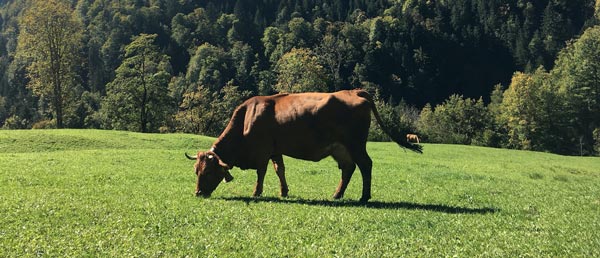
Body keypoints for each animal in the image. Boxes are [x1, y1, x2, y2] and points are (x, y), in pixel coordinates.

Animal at [185, 89, 424, 203]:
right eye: (196, 171)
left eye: (208, 172)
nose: (198, 193)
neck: (247, 118)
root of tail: (354, 91)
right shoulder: (276, 150)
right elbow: (279, 170)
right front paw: (284, 191)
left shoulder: (262, 150)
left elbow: (261, 172)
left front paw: (257, 192)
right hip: (340, 148)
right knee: (348, 168)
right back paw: (337, 194)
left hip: (355, 144)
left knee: (365, 165)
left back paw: (364, 196)